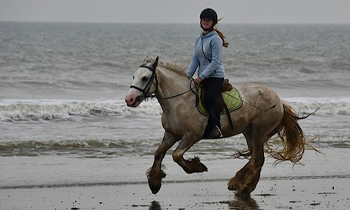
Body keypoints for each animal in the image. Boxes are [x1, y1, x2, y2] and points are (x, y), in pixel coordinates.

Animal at [125, 56, 308, 195]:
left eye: (145, 78)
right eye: (133, 76)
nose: (129, 99)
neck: (179, 101)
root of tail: (279, 101)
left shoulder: (192, 136)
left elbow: (176, 155)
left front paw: (197, 167)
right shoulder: (171, 134)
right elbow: (158, 153)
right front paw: (154, 183)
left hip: (259, 131)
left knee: (256, 158)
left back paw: (236, 182)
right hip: (249, 132)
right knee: (258, 159)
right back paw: (246, 187)